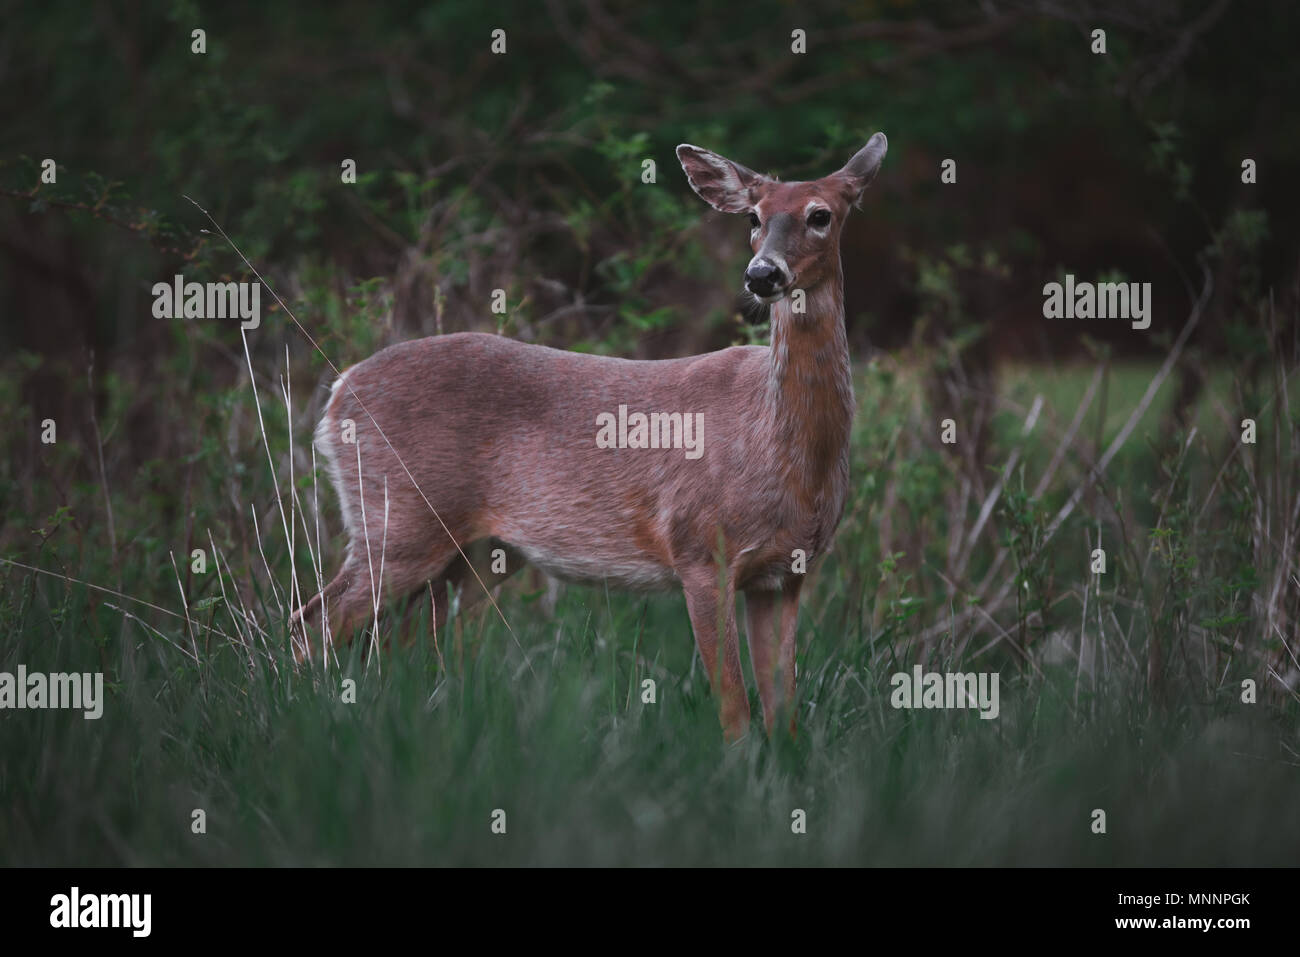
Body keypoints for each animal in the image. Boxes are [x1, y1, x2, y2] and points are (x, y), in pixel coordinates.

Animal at [291, 132, 888, 741]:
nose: (762, 274)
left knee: (398, 636)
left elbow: (782, 711)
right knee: (313, 621)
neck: (783, 450)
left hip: (478, 552)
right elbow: (735, 710)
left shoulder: (784, 573)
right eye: (753, 215)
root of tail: (338, 392)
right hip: (397, 519)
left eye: (820, 215)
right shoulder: (700, 548)